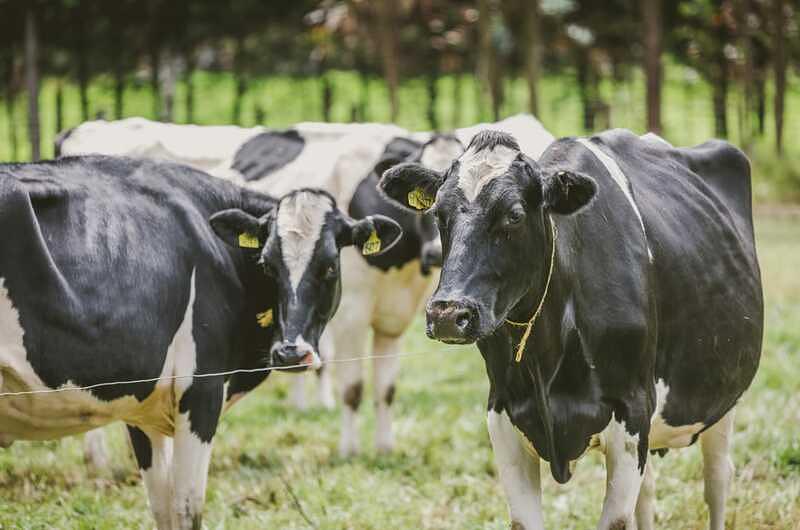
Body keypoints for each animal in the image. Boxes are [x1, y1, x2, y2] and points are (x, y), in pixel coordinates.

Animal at [0, 155, 400, 524]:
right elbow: (187, 509)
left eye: (329, 266)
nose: (290, 353)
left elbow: (162, 509)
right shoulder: (201, 393)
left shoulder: (143, 407)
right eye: (267, 264)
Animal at [378, 129, 764, 528]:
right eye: (439, 213)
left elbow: (616, 520)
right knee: (649, 495)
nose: (447, 313)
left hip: (722, 396)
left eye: (514, 215)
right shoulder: (502, 414)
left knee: (717, 479)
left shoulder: (632, 410)